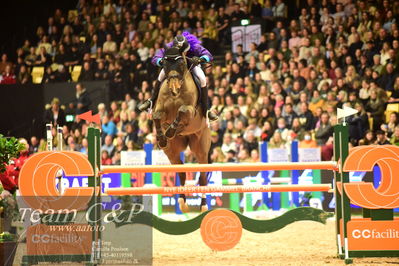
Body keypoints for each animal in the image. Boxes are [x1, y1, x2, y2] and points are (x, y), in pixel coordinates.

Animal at [152, 45, 212, 212]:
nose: (174, 89)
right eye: (164, 63)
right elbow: (156, 116)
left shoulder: (190, 112)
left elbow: (182, 111)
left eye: (181, 64)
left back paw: (203, 206)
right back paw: (182, 203)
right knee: (181, 172)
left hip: (201, 149)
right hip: (172, 152)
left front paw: (171, 130)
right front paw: (162, 137)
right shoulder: (160, 110)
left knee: (203, 177)